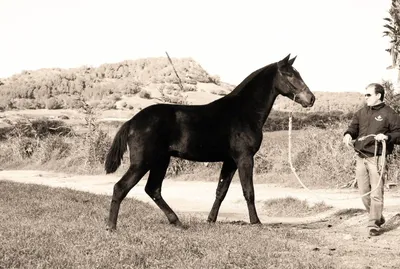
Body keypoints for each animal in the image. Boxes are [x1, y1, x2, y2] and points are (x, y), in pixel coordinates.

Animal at [104, 54, 314, 228]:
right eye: (289, 74)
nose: (311, 99)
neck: (243, 112)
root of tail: (131, 122)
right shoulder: (244, 158)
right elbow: (248, 191)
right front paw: (256, 222)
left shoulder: (230, 161)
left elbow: (221, 191)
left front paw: (210, 220)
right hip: (143, 162)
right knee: (121, 187)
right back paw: (111, 227)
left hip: (160, 161)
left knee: (153, 189)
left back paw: (177, 222)